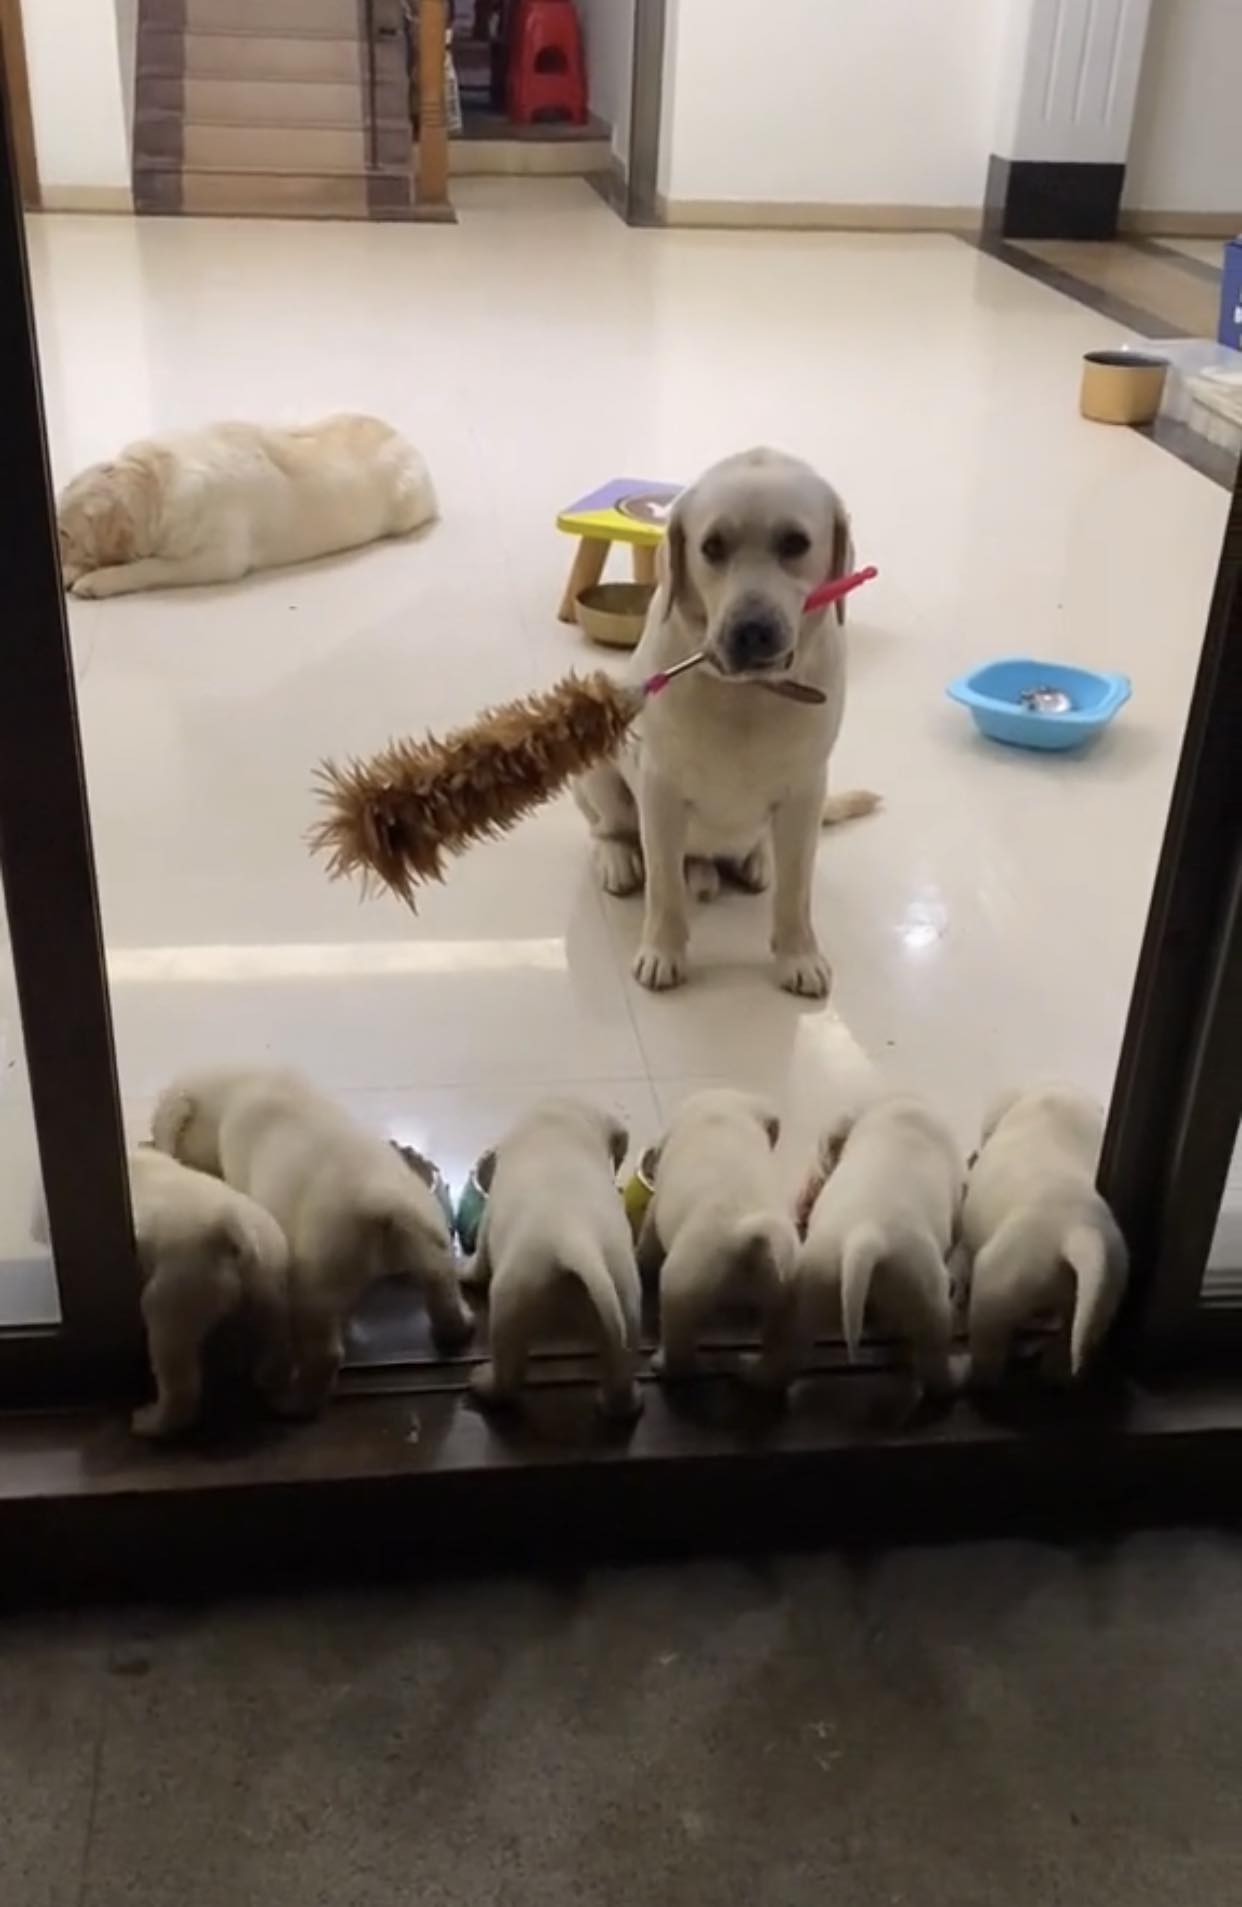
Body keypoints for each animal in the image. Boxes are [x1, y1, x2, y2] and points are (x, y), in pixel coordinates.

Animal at [56, 411, 436, 591]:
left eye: (65, 535)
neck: (154, 480)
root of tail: (409, 442)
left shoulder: (218, 559)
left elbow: (147, 567)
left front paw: (96, 581)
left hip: (406, 504)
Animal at [150, 1075, 471, 1418]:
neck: (243, 1085)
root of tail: (382, 1202)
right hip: (430, 1247)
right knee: (442, 1290)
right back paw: (458, 1329)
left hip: (317, 1279)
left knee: (325, 1353)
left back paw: (295, 1402)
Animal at [463, 1106, 644, 1418]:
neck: (559, 1124)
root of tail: (575, 1240)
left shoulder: (487, 1224)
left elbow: (479, 1261)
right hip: (626, 1308)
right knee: (620, 1371)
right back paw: (624, 1403)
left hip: (510, 1308)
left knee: (508, 1377)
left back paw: (484, 1384)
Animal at [572, 444, 873, 999]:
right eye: (711, 547)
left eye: (795, 543)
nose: (751, 630)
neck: (748, 695)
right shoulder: (660, 790)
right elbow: (664, 888)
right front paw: (662, 952)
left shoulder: (805, 790)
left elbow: (797, 892)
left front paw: (799, 955)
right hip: (600, 761)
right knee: (611, 831)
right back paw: (620, 859)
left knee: (757, 855)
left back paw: (755, 861)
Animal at [637, 1090, 801, 1388]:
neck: (722, 1116)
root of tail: (751, 1241)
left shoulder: (654, 1209)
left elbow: (647, 1243)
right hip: (786, 1296)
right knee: (778, 1349)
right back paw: (754, 1371)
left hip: (682, 1286)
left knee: (680, 1344)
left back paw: (663, 1365)